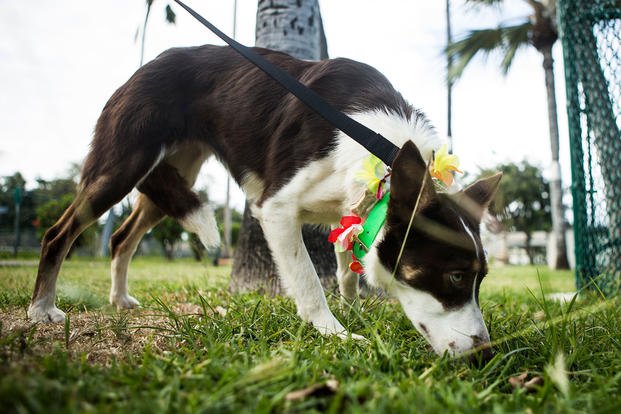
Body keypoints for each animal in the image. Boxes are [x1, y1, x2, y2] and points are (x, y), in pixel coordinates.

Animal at [30, 45, 498, 360]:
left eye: (481, 279)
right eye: (456, 276)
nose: (486, 353)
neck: (378, 148)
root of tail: (141, 69)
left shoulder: (350, 212)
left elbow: (346, 270)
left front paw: (352, 310)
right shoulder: (276, 209)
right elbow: (309, 281)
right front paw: (333, 331)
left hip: (171, 175)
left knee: (122, 237)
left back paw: (119, 298)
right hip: (121, 164)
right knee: (59, 233)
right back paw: (42, 309)